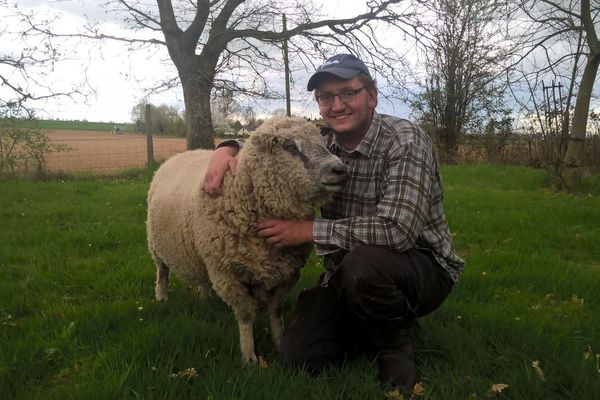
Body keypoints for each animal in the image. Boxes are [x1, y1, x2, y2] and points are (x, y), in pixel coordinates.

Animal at [146, 117, 350, 364]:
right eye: (291, 147)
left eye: (323, 142)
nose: (340, 170)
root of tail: (179, 155)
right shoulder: (227, 271)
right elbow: (244, 316)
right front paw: (249, 356)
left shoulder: (287, 272)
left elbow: (275, 310)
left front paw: (279, 340)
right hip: (156, 244)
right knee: (162, 272)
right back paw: (161, 296)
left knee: (202, 278)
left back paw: (205, 298)